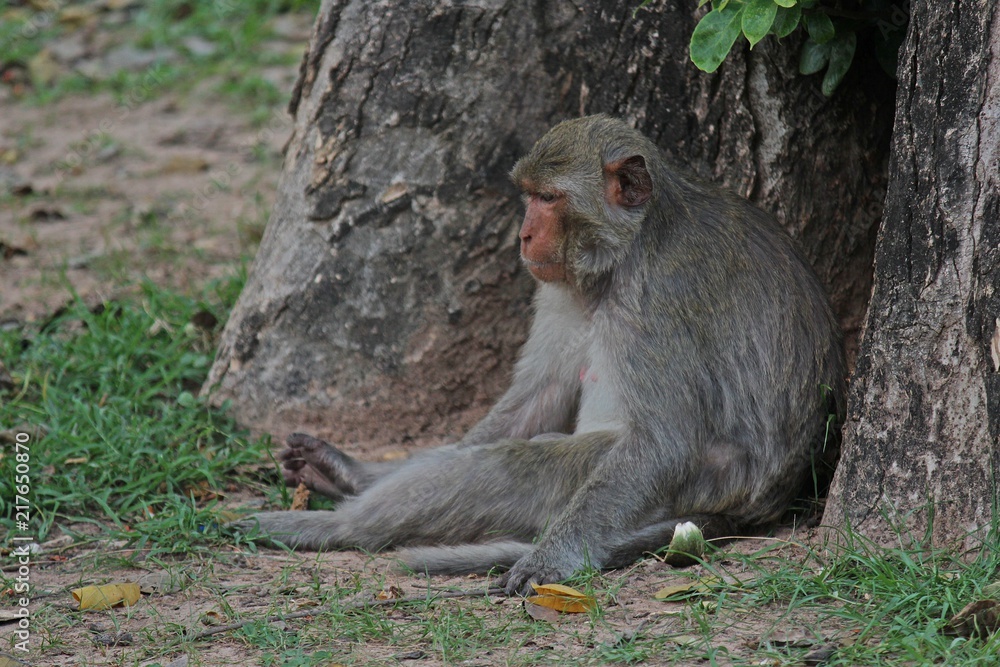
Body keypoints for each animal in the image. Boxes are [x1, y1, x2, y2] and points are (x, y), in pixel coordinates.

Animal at [239, 114, 845, 596]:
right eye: (528, 195)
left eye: (550, 199)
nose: (524, 237)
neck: (626, 252)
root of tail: (760, 505)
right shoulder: (559, 285)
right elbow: (537, 399)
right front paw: (356, 472)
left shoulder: (662, 297)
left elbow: (663, 441)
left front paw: (550, 558)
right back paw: (352, 479)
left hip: (705, 481)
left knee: (522, 467)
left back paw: (333, 529)